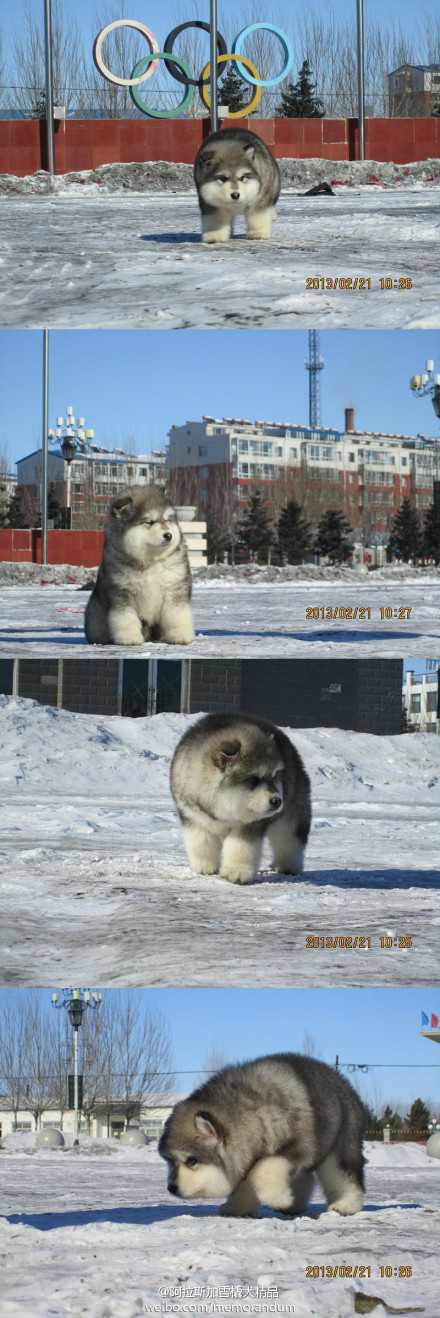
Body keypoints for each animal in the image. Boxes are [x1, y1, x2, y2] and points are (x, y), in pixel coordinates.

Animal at [84, 485, 193, 648]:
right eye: (149, 522)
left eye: (167, 520)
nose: (169, 535)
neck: (150, 560)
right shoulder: (121, 592)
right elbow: (126, 618)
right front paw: (129, 638)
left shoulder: (174, 587)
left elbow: (176, 613)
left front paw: (180, 635)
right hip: (95, 612)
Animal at [158, 1054, 363, 1217]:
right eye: (169, 1162)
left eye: (191, 1161)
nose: (171, 1187)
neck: (252, 1113)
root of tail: (341, 1080)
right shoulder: (246, 1157)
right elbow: (247, 1182)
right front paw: (238, 1207)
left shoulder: (299, 1147)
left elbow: (264, 1169)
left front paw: (280, 1198)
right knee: (305, 1177)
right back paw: (294, 1204)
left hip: (341, 1144)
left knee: (345, 1175)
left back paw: (345, 1204)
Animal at [169, 711, 310, 885]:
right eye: (253, 780)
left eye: (274, 776)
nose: (277, 801)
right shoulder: (194, 818)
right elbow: (200, 843)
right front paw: (204, 866)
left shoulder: (249, 825)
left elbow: (240, 848)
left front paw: (236, 872)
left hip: (292, 816)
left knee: (290, 841)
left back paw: (287, 866)